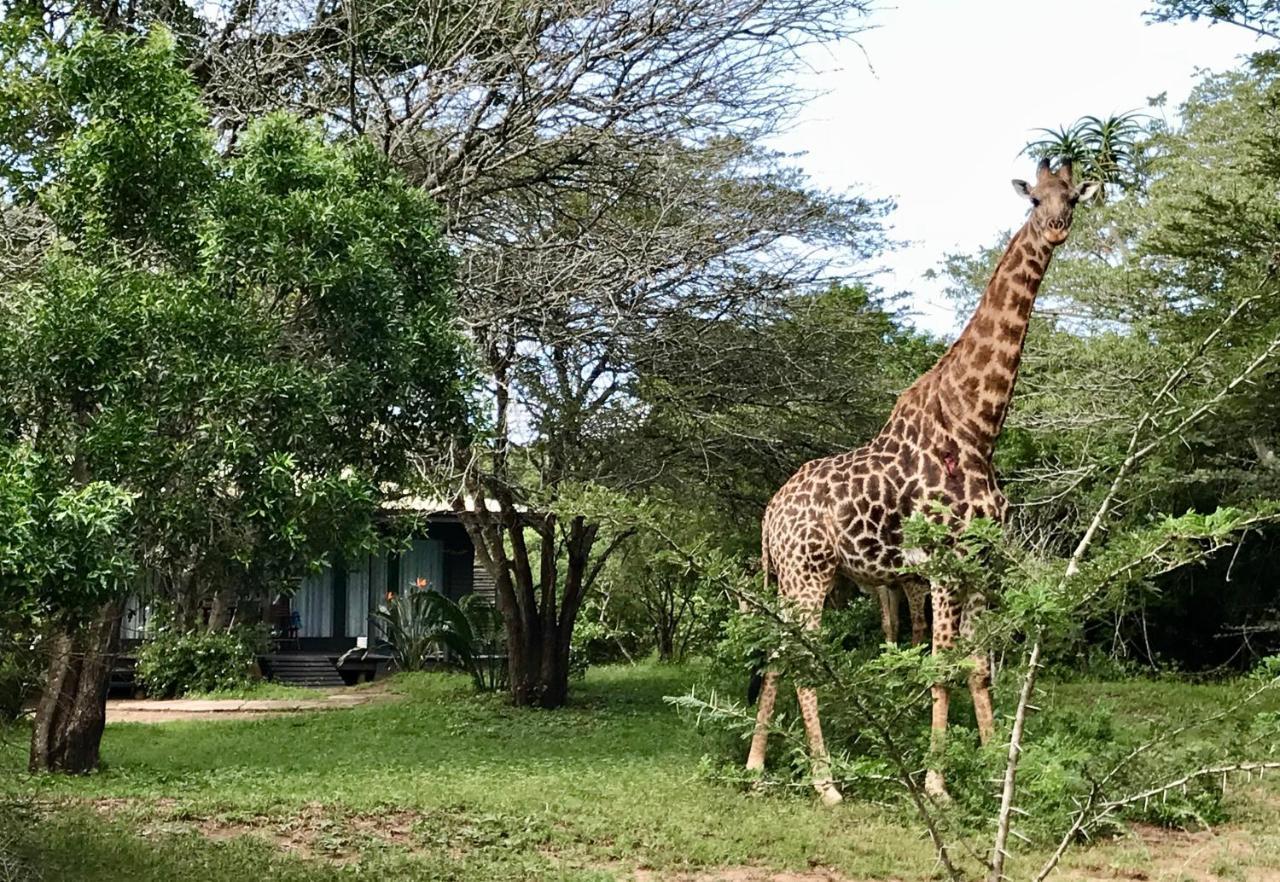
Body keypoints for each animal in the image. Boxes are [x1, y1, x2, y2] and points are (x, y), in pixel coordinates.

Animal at [747, 158, 1100, 803]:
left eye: (1072, 197)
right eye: (1033, 199)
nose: (1056, 228)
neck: (978, 427)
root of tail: (769, 513)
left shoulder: (981, 566)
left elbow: (979, 668)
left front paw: (996, 769)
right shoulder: (940, 565)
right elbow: (941, 668)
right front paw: (937, 784)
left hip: (792, 577)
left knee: (780, 654)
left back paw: (757, 766)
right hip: (809, 574)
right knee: (804, 663)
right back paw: (827, 784)